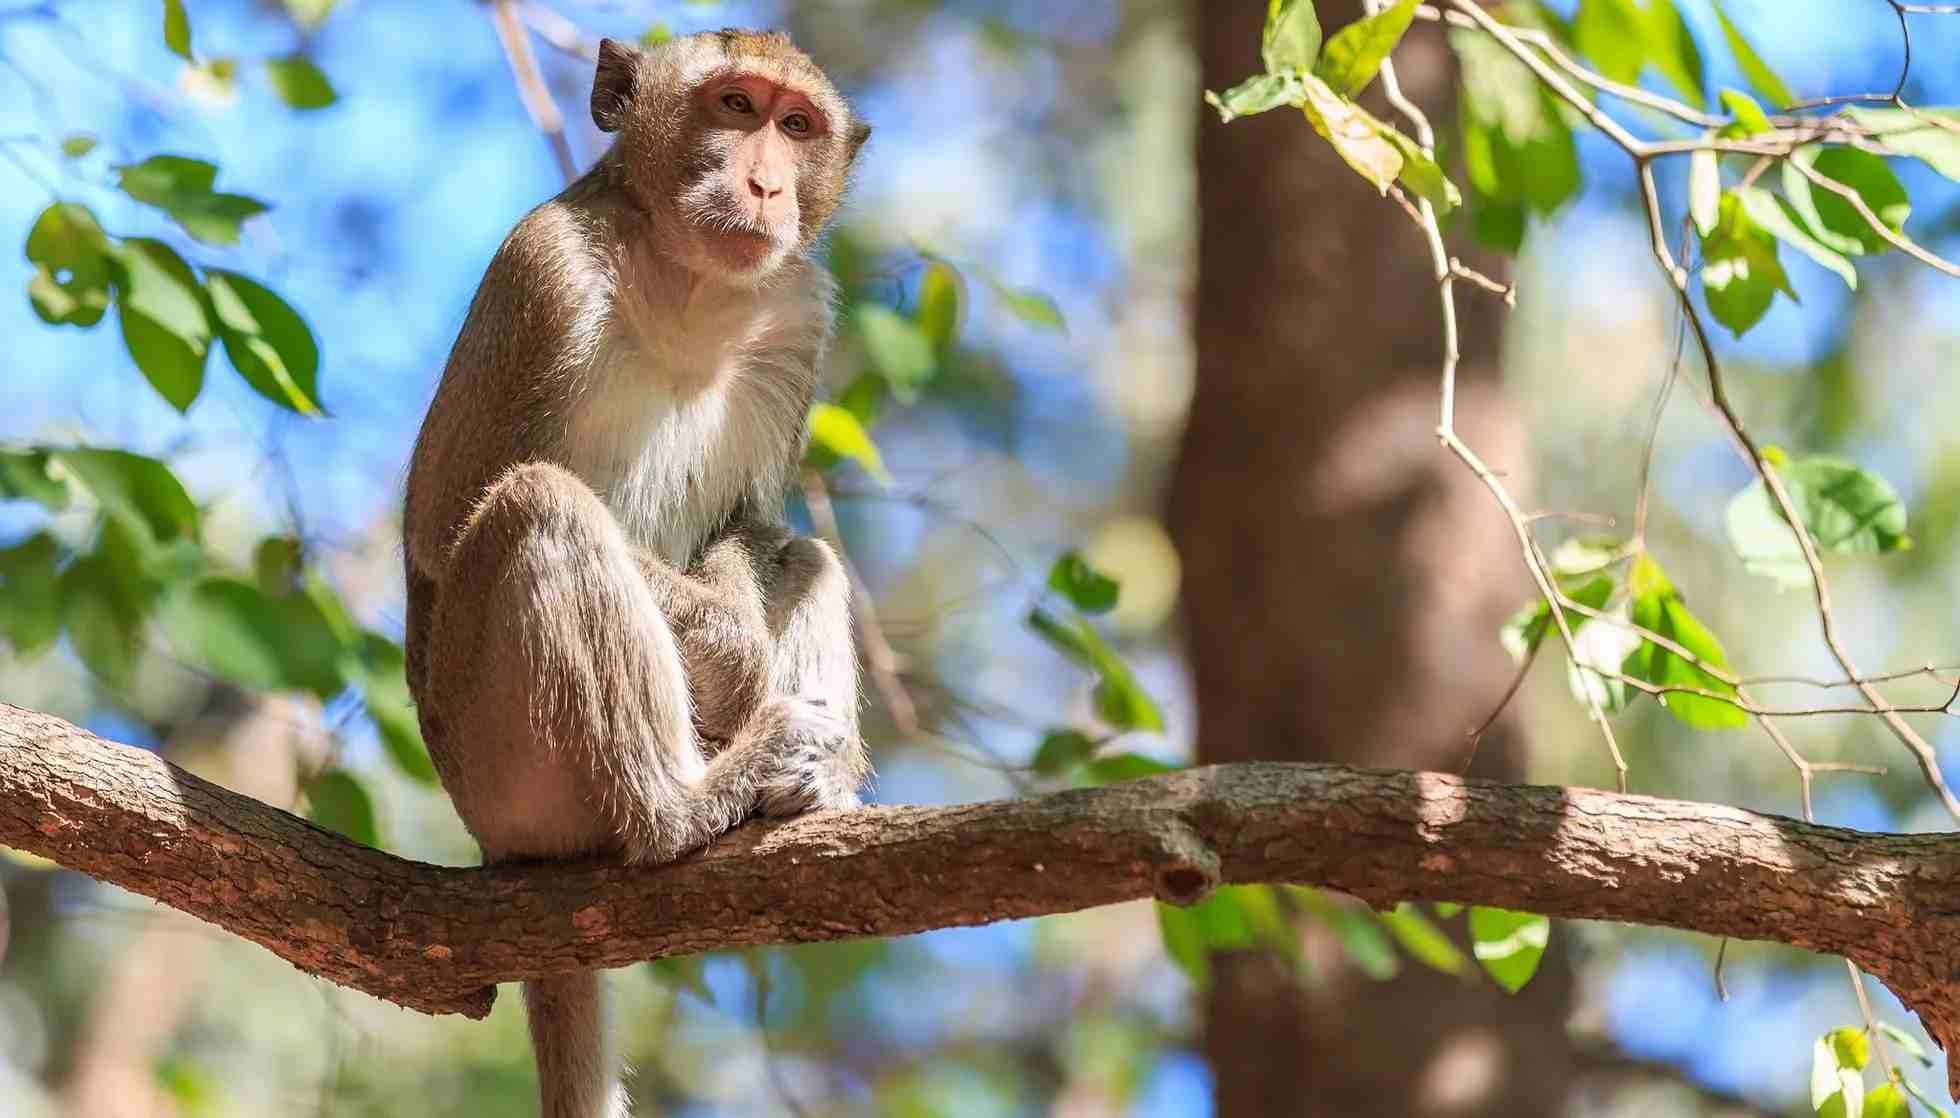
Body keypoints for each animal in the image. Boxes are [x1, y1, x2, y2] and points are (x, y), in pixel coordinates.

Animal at [400, 30, 872, 1118]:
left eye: (797, 125)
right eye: (735, 104)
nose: (764, 183)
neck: (684, 282)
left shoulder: (798, 313)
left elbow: (756, 526)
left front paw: (745, 591)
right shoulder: (541, 272)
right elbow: (443, 526)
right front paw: (737, 647)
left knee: (811, 557)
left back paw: (814, 781)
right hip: (500, 768)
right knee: (540, 503)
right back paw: (679, 808)